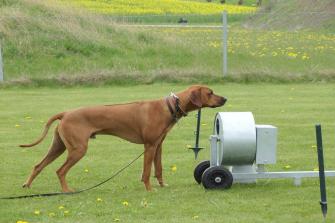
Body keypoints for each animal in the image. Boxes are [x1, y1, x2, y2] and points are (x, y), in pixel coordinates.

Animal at [19, 85, 227, 192]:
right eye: (210, 93)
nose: (225, 99)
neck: (169, 106)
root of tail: (66, 113)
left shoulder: (158, 145)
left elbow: (158, 168)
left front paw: (162, 185)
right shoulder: (149, 146)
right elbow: (146, 172)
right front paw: (149, 189)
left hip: (59, 146)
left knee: (38, 165)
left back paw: (27, 185)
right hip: (78, 149)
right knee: (60, 170)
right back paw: (66, 191)